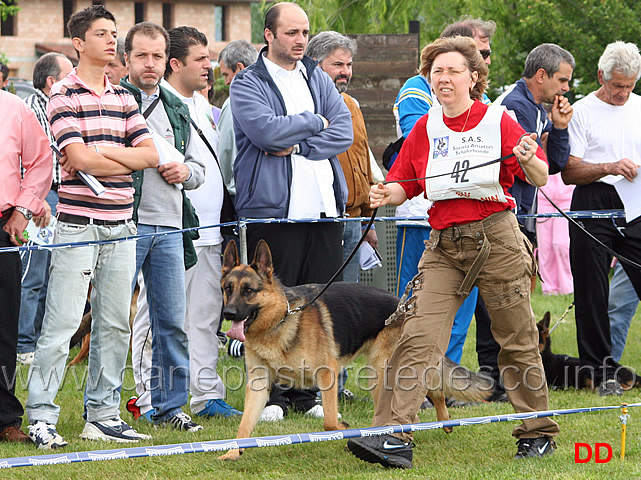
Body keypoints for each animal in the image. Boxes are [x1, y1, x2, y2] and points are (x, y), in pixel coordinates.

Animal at [218, 240, 492, 462]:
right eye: (228, 289)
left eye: (249, 291)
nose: (228, 314)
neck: (279, 320)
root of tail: (405, 306)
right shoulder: (258, 384)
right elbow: (244, 425)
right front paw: (233, 452)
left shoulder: (327, 374)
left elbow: (329, 421)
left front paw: (342, 426)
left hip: (382, 372)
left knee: (427, 394)